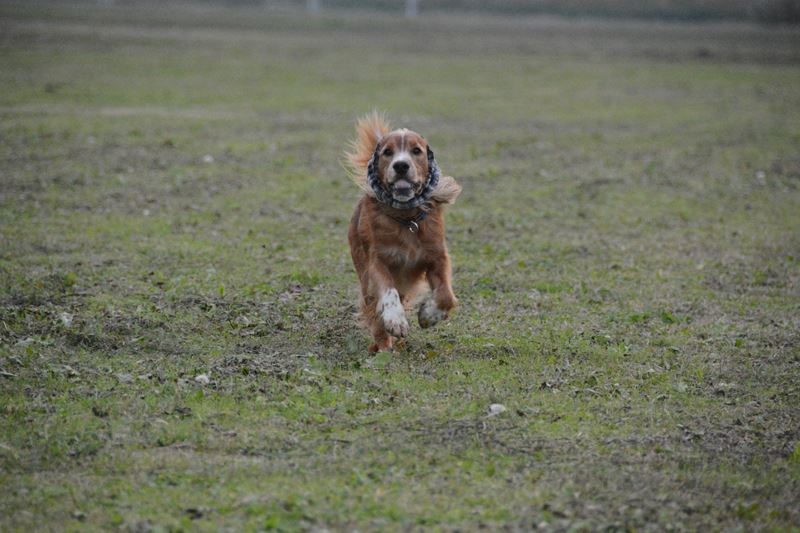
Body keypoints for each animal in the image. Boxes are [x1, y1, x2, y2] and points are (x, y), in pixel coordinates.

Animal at [345, 113, 461, 352]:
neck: (407, 219)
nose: (400, 165)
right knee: (375, 312)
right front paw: (395, 320)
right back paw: (384, 346)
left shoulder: (438, 257)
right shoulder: (377, 261)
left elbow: (446, 295)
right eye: (387, 152)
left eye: (416, 150)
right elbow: (388, 293)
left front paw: (429, 315)